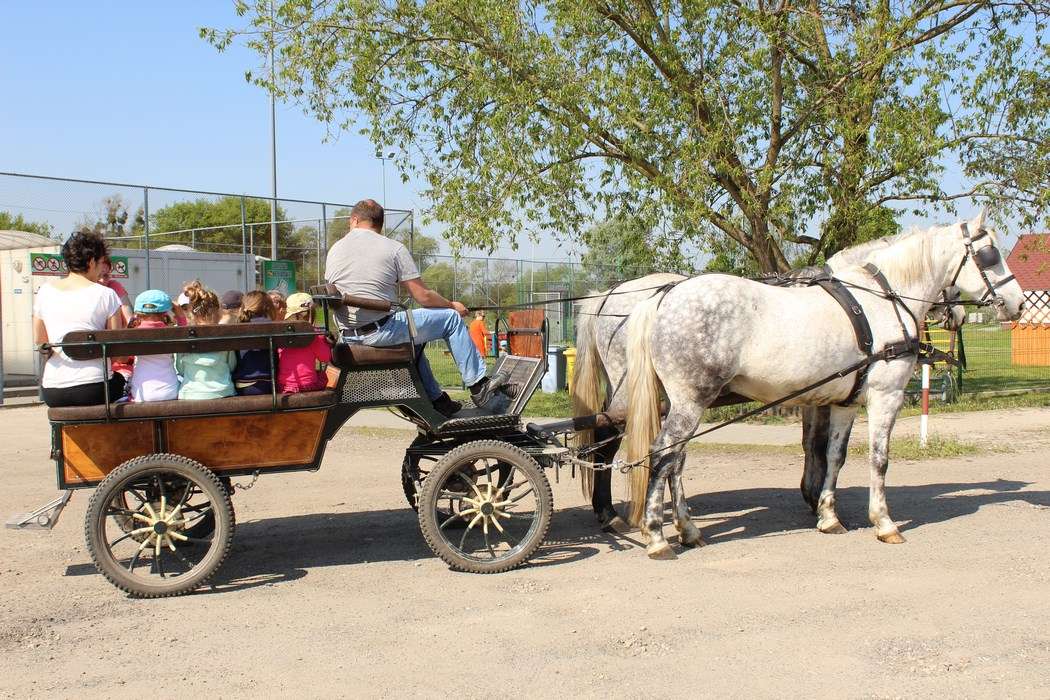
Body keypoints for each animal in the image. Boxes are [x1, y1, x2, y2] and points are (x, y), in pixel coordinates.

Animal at [571, 239, 968, 533]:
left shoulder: (819, 392)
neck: (857, 302)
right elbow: (819, 445)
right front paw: (817, 498)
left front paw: (816, 498)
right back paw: (611, 514)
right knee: (612, 441)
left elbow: (816, 445)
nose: (959, 314)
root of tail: (610, 295)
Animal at [620, 212, 1023, 559]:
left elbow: (834, 456)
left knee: (676, 461)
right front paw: (884, 522)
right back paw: (657, 536)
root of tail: (666, 295)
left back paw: (688, 530)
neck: (882, 299)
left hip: (684, 403)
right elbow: (879, 459)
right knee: (662, 456)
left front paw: (829, 516)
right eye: (990, 255)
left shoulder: (846, 402)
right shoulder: (886, 396)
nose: (1017, 304)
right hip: (692, 401)